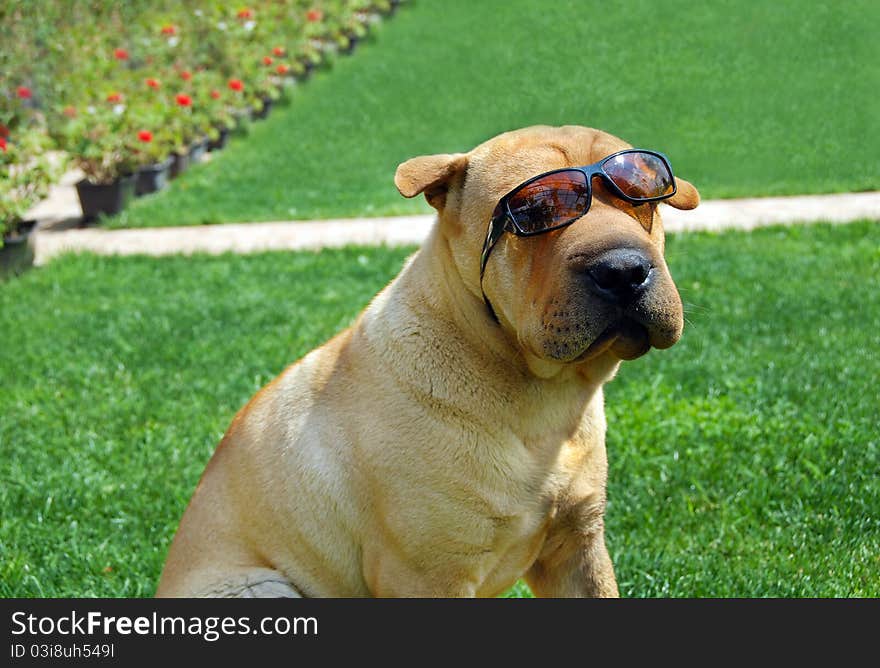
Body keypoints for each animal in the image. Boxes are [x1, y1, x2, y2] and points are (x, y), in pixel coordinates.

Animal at [155, 126, 696, 600]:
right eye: (538, 209)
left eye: (643, 196)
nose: (624, 270)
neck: (540, 400)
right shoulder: (429, 574)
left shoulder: (577, 545)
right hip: (261, 586)